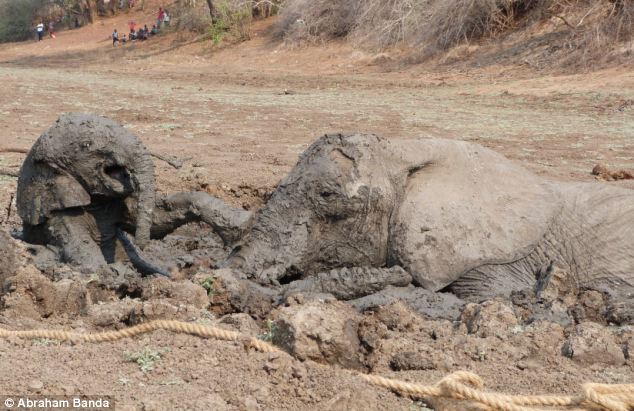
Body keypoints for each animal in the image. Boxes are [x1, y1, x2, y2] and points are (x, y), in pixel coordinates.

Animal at [17, 113, 249, 274]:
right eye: (86, 145)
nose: (141, 245)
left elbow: (159, 221)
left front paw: (243, 222)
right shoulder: (59, 216)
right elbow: (86, 258)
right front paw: (117, 273)